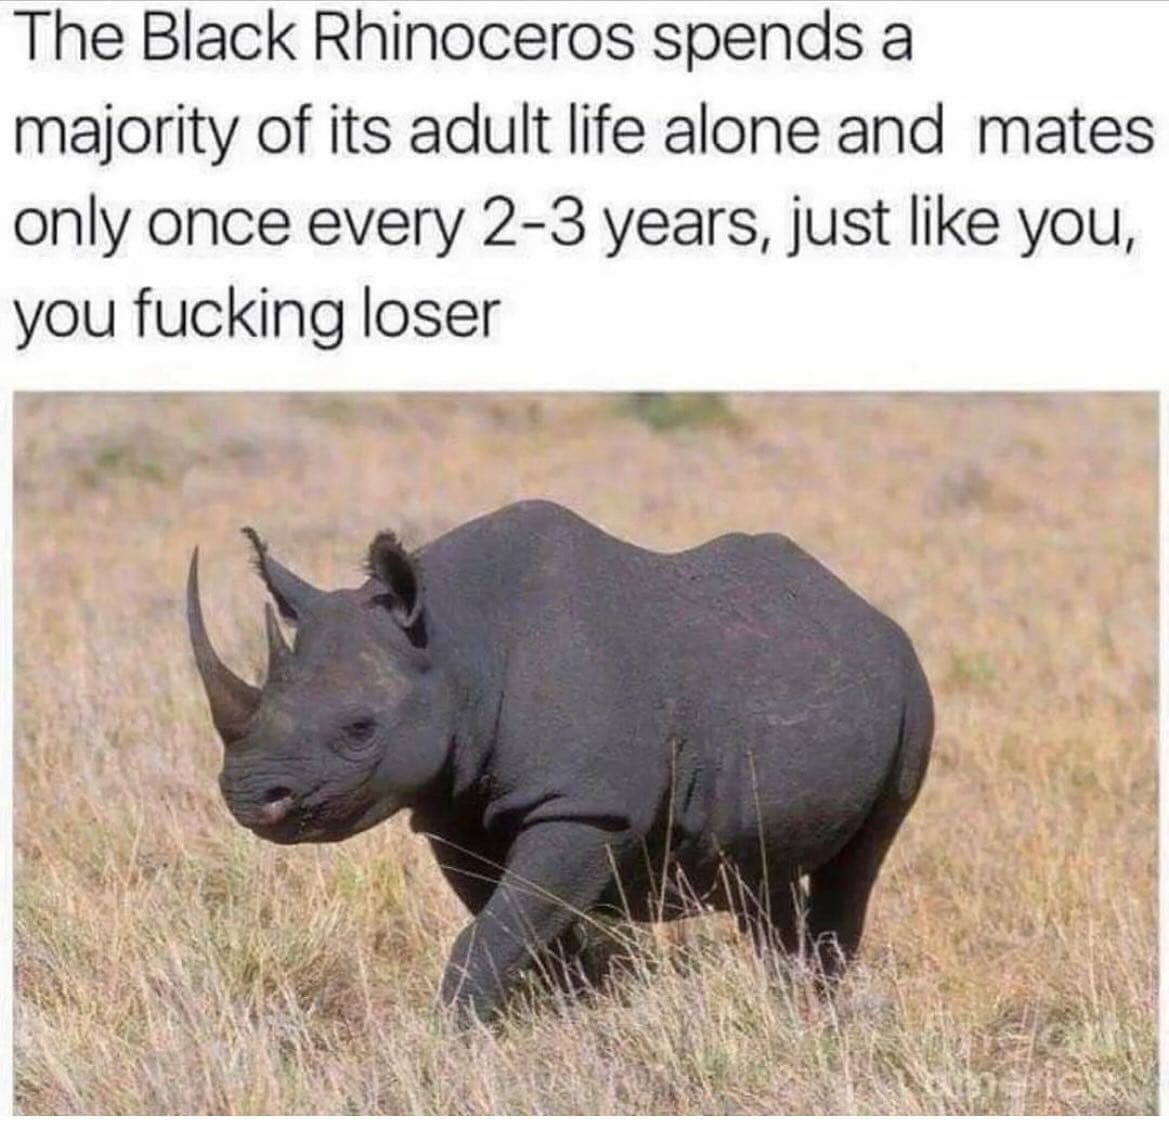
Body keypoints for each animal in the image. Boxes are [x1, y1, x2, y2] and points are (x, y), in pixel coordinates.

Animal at [187, 500, 933, 1018]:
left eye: (360, 729)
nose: (249, 796)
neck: (455, 642)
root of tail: (866, 610)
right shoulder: (455, 812)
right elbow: (522, 933)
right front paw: (565, 1015)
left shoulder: (586, 807)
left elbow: (496, 933)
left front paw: (452, 1042)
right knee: (762, 867)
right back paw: (784, 996)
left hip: (912, 692)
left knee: (860, 859)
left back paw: (816, 1006)